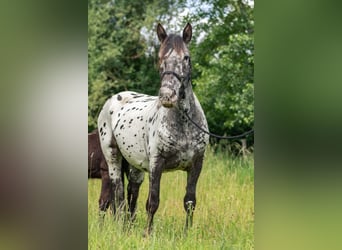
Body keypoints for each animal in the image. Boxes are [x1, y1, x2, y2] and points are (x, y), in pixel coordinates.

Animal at [96, 23, 208, 234]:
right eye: (160, 57)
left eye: (186, 57)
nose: (167, 96)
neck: (184, 124)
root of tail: (114, 98)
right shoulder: (157, 164)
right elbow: (153, 202)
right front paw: (147, 234)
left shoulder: (196, 164)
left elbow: (190, 201)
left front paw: (187, 233)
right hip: (113, 157)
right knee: (119, 194)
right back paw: (122, 227)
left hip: (135, 164)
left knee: (132, 192)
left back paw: (129, 226)